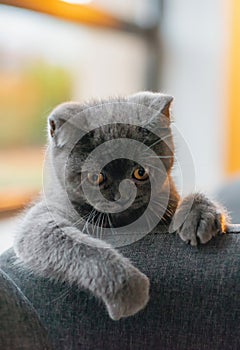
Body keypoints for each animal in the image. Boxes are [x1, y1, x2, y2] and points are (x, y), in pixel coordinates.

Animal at [13, 92, 229, 320]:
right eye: (96, 177)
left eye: (140, 172)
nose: (122, 196)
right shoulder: (42, 219)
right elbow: (76, 244)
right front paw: (127, 288)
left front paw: (200, 216)